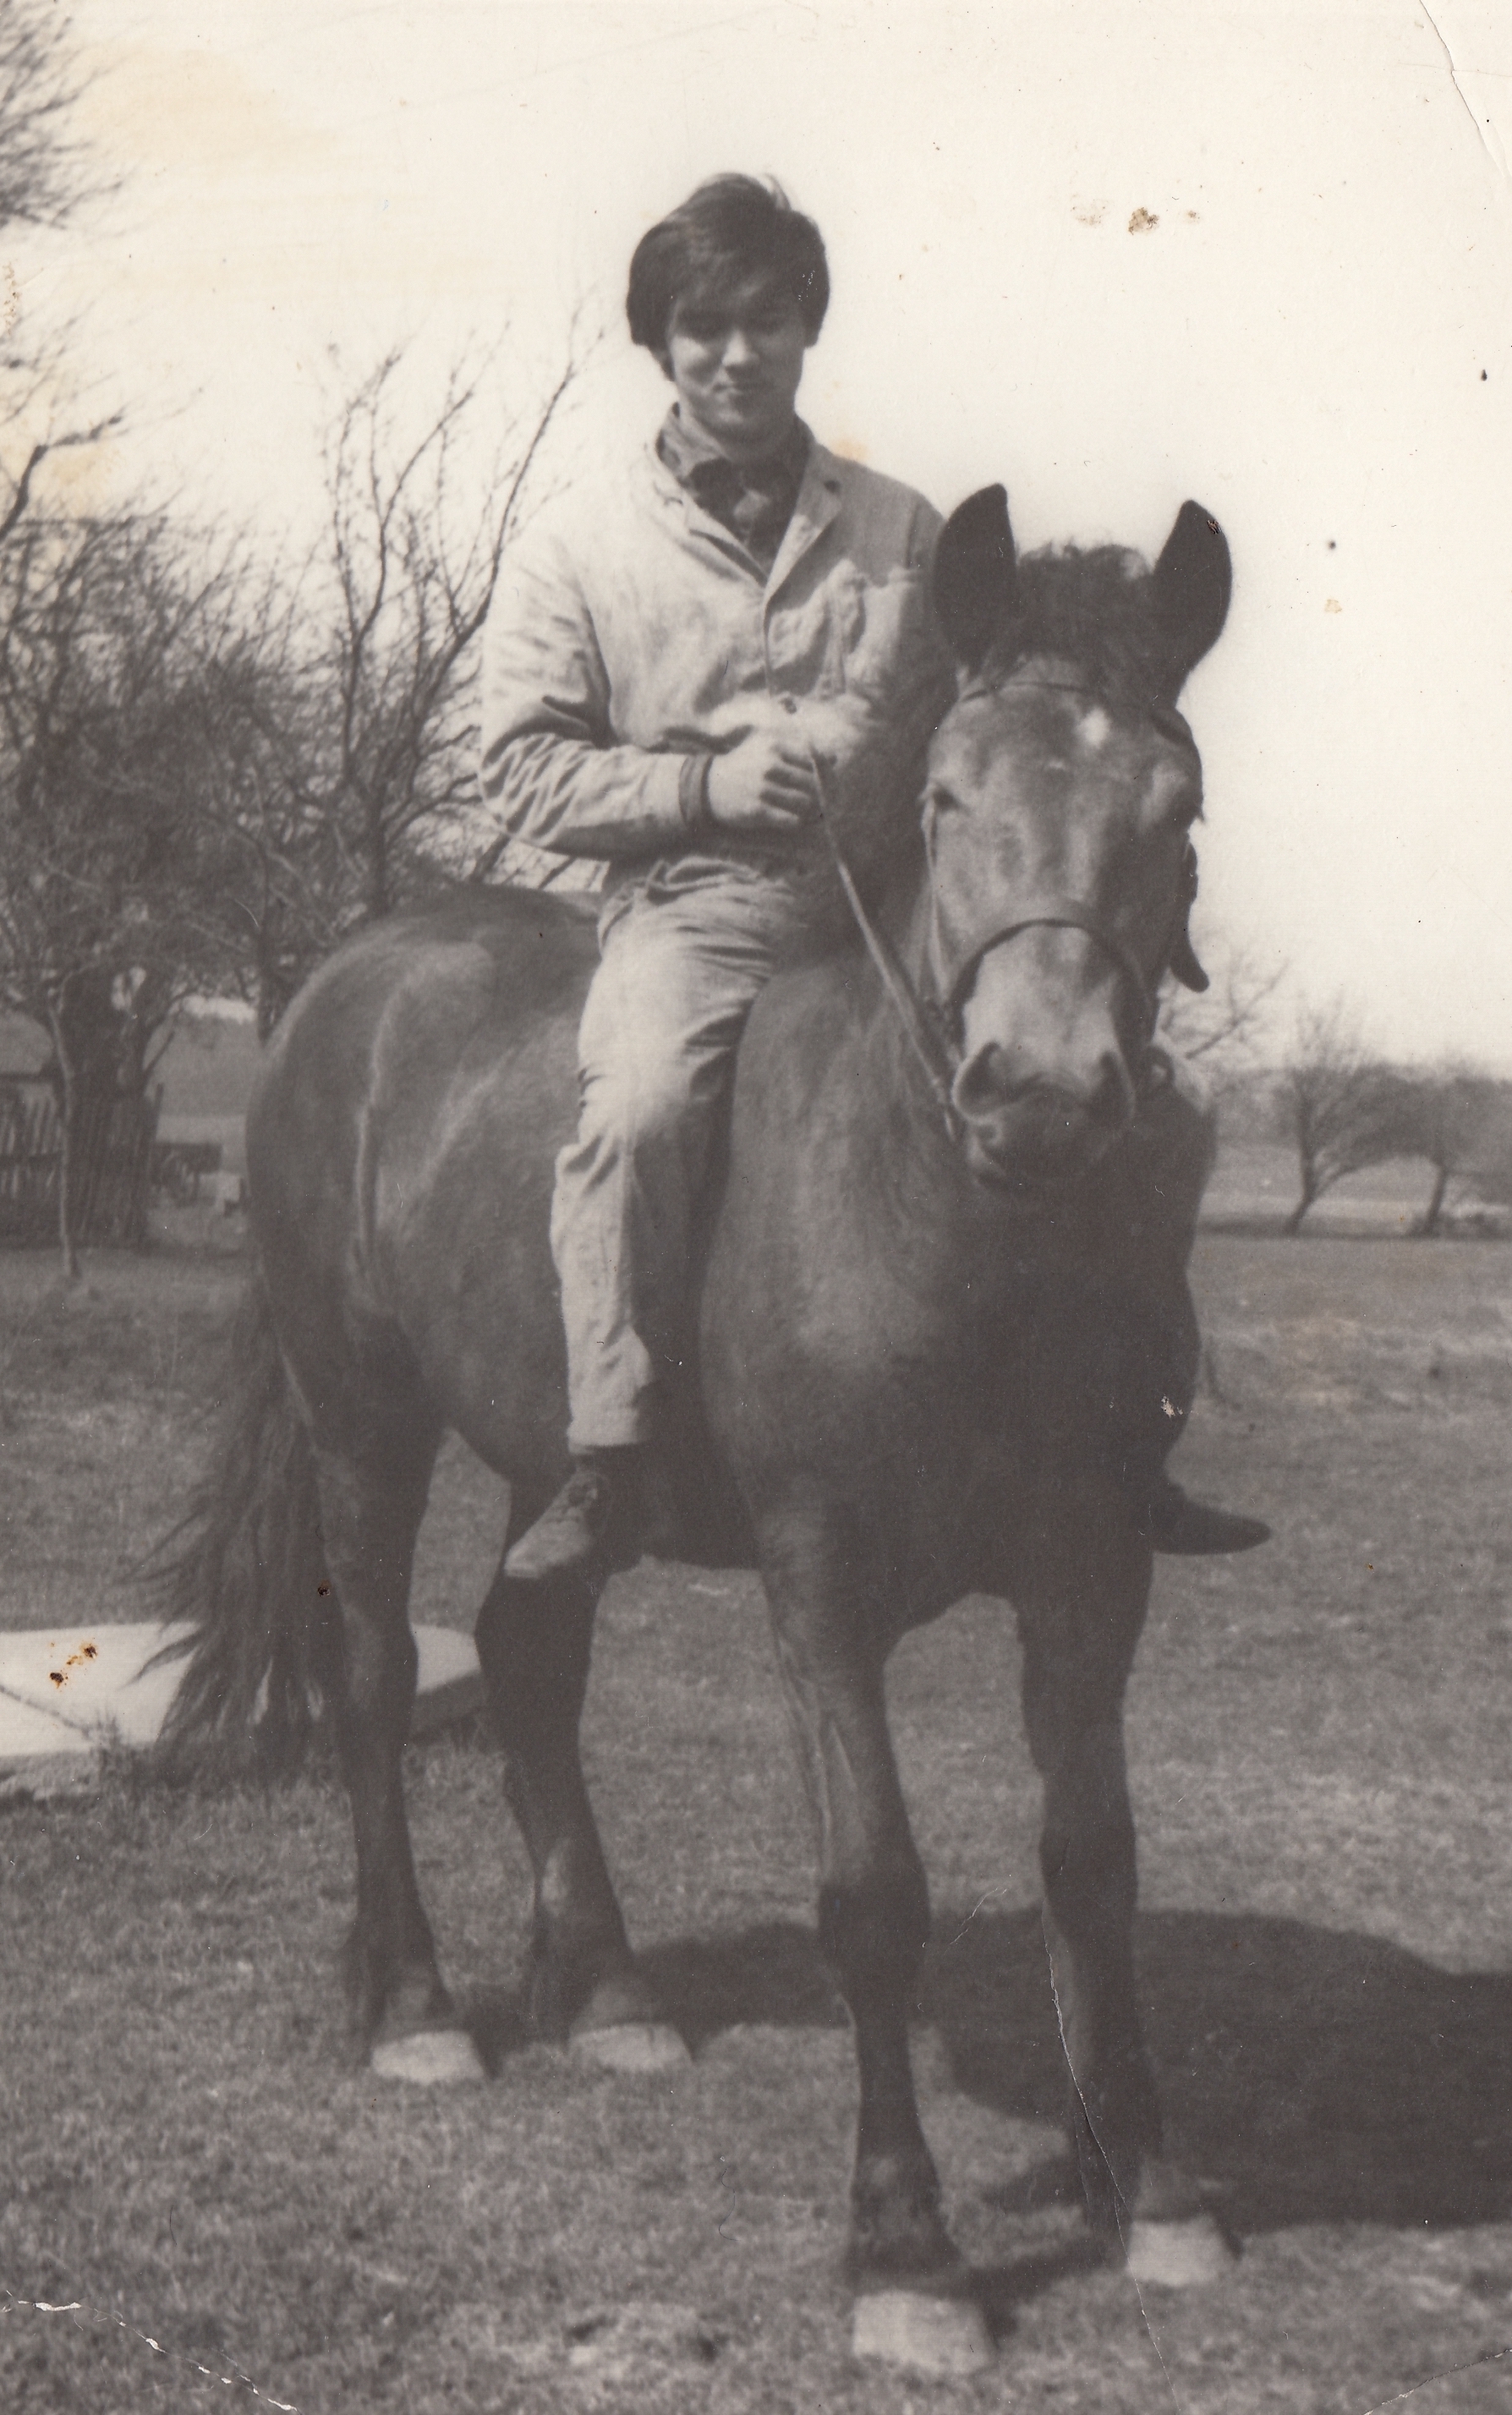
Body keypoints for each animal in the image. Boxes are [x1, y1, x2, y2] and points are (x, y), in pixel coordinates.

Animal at [161, 484, 1243, 2375]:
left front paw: (1154, 2193)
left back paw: (602, 1990)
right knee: (374, 1681)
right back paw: (421, 2007)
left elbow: (1091, 1861)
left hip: (553, 1468)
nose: (1040, 1095)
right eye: (945, 795)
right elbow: (873, 1893)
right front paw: (905, 2252)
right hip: (363, 1421)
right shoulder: (820, 1590)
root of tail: (344, 982)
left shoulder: (1092, 1578)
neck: (954, 1227)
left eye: (1174, 814)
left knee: (527, 1650)